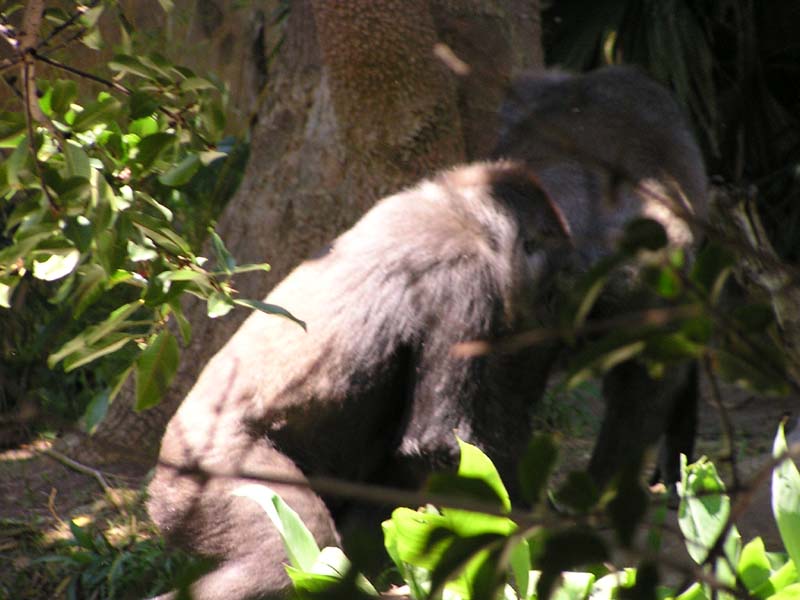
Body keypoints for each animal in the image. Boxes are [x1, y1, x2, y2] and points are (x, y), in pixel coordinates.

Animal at [147, 160, 573, 600]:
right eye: (552, 286)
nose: (552, 315)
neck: (465, 214)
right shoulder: (465, 281)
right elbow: (443, 446)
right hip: (201, 476)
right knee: (288, 555)